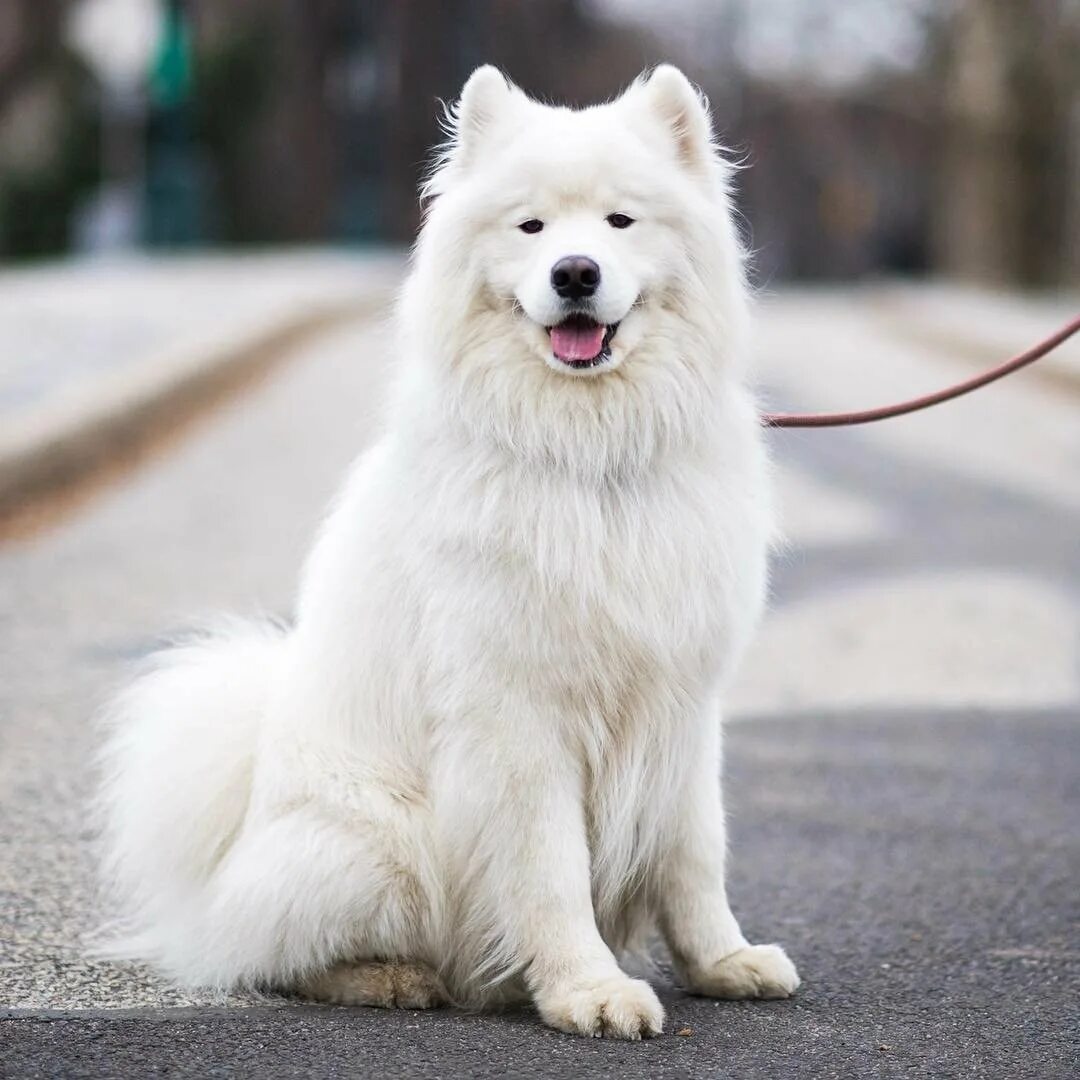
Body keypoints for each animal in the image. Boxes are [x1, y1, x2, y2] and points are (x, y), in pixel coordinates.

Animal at [97, 65, 799, 1036]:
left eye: (620, 222)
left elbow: (696, 851)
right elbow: (551, 872)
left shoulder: (683, 704)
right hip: (380, 843)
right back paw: (392, 978)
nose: (574, 272)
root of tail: (230, 851)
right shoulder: (517, 720)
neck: (590, 455)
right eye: (530, 227)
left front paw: (723, 961)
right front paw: (587, 990)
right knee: (272, 958)